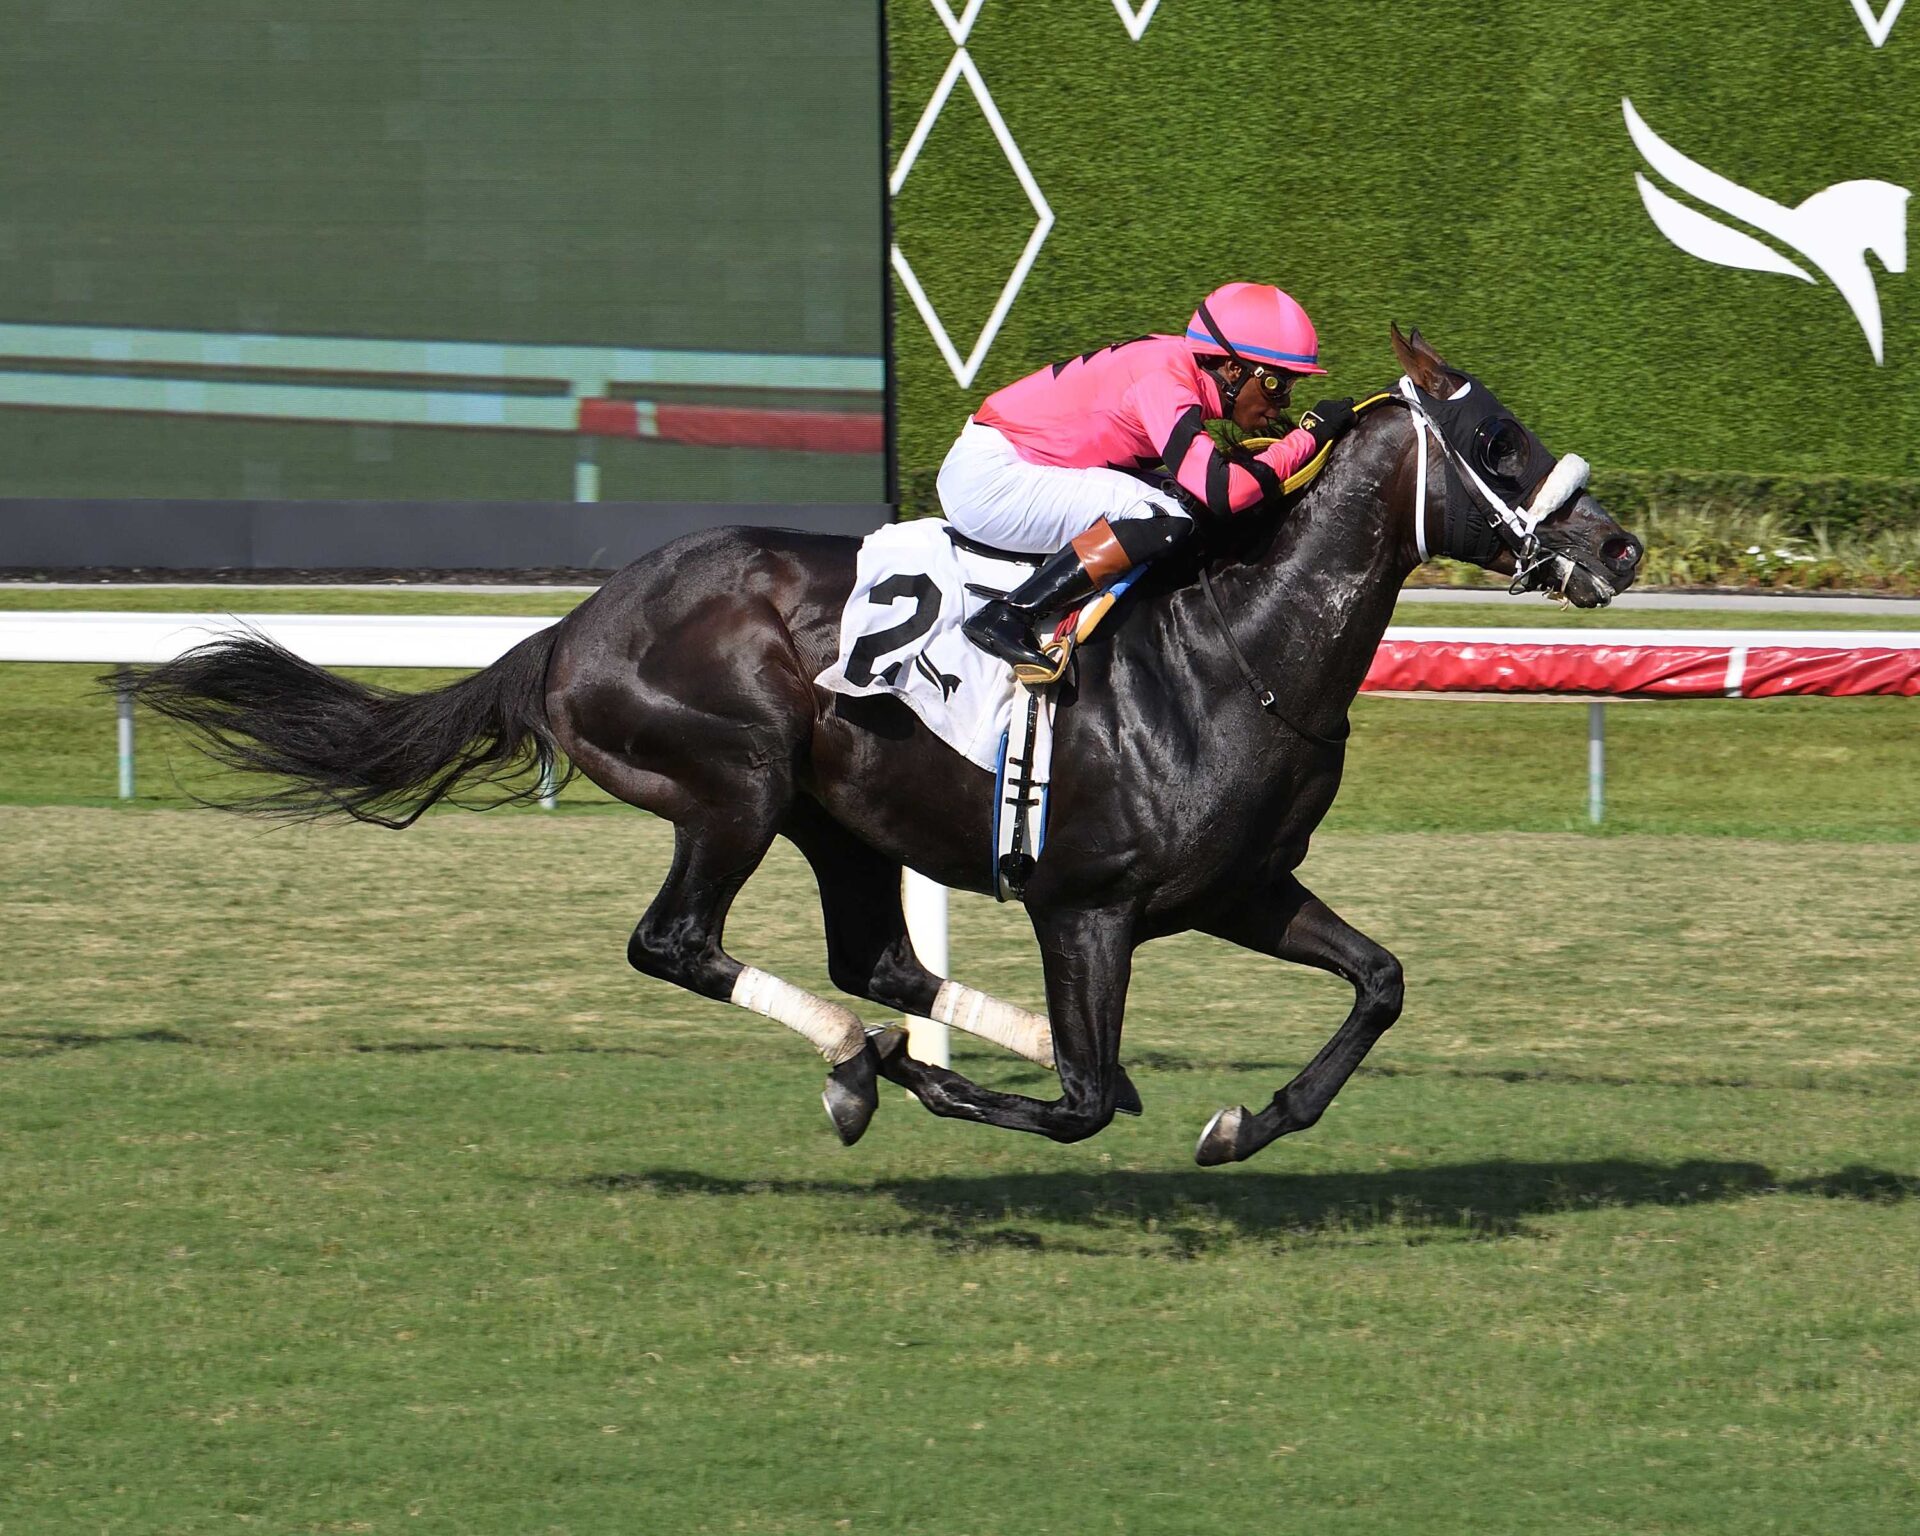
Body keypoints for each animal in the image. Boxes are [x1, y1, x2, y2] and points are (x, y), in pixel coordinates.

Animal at [128, 325, 1643, 1166]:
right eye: (1500, 439)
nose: (1622, 546)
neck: (1239, 654)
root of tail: (572, 628)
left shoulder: (1238, 889)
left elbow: (1378, 983)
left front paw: (1241, 1121)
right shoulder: (1088, 906)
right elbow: (1089, 1099)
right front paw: (934, 1079)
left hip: (835, 817)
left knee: (879, 960)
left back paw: (901, 1046)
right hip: (731, 783)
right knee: (681, 944)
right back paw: (864, 1063)